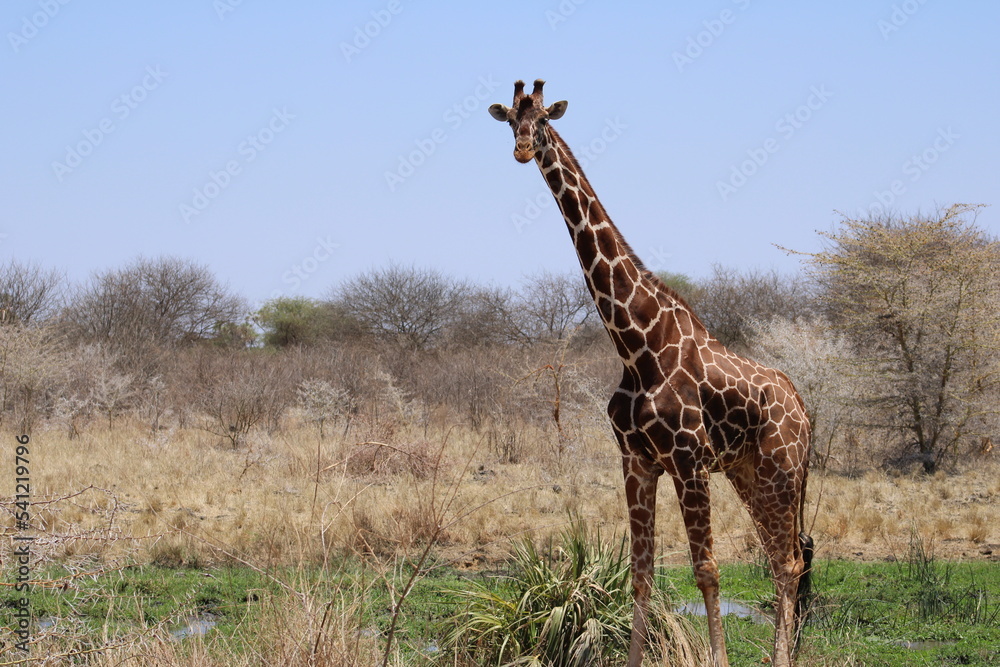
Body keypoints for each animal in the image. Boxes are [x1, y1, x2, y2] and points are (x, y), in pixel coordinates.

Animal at [490, 80, 813, 667]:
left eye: (543, 120)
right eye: (510, 122)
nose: (523, 150)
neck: (637, 344)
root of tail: (805, 411)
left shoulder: (688, 460)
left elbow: (707, 572)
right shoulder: (637, 461)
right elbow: (641, 574)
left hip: (782, 470)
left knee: (788, 562)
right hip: (748, 472)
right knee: (783, 559)